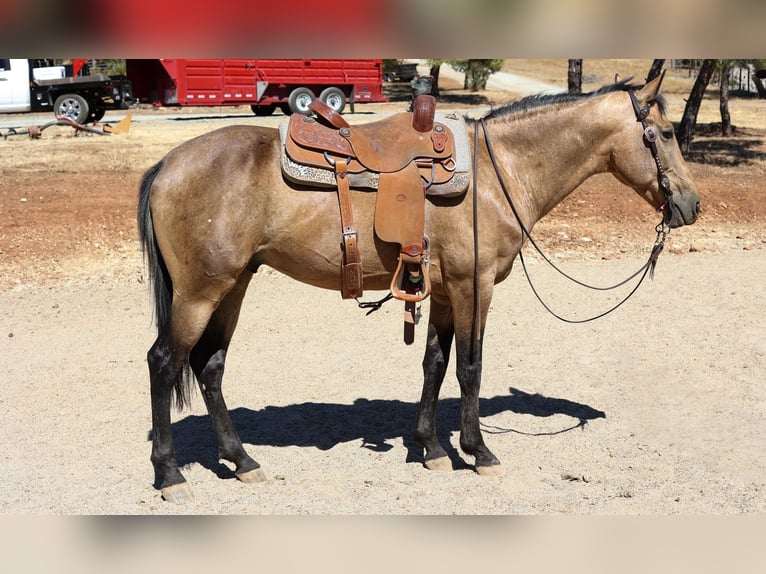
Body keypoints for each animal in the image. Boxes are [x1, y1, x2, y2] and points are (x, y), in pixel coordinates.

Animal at [137, 73, 700, 502]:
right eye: (665, 133)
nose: (692, 204)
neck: (499, 173)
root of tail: (166, 165)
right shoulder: (475, 286)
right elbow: (470, 368)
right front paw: (478, 451)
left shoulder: (446, 290)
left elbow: (435, 362)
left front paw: (430, 448)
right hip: (200, 292)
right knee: (164, 362)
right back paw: (170, 474)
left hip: (232, 286)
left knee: (209, 366)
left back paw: (241, 460)